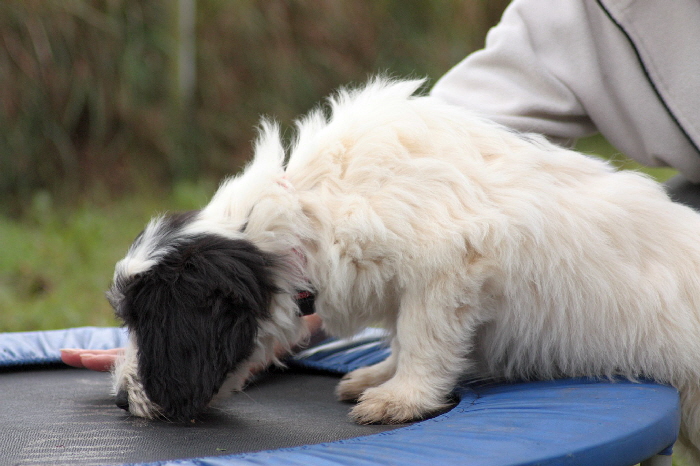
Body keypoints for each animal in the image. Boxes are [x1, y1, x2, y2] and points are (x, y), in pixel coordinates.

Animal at [109, 79, 700, 462]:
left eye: (151, 323)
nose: (118, 398)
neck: (306, 214)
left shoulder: (447, 270)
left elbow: (422, 338)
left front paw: (402, 397)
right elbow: (400, 334)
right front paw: (380, 375)